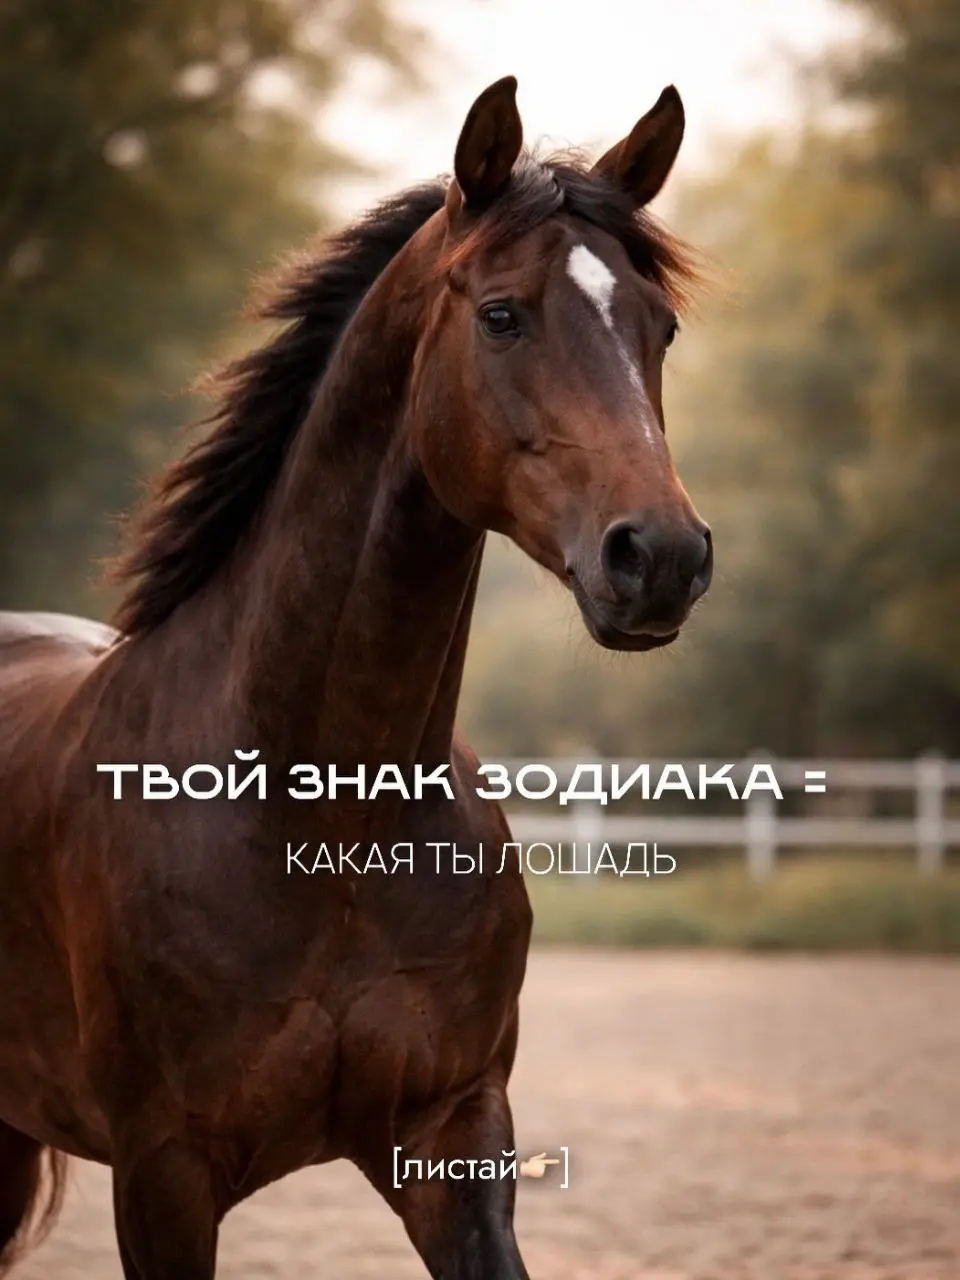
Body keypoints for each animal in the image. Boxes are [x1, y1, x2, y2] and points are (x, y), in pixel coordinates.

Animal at [0, 76, 711, 1279]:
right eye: (502, 314)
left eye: (657, 326)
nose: (658, 557)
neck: (322, 817)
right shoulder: (163, 1174)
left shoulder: (453, 1136)